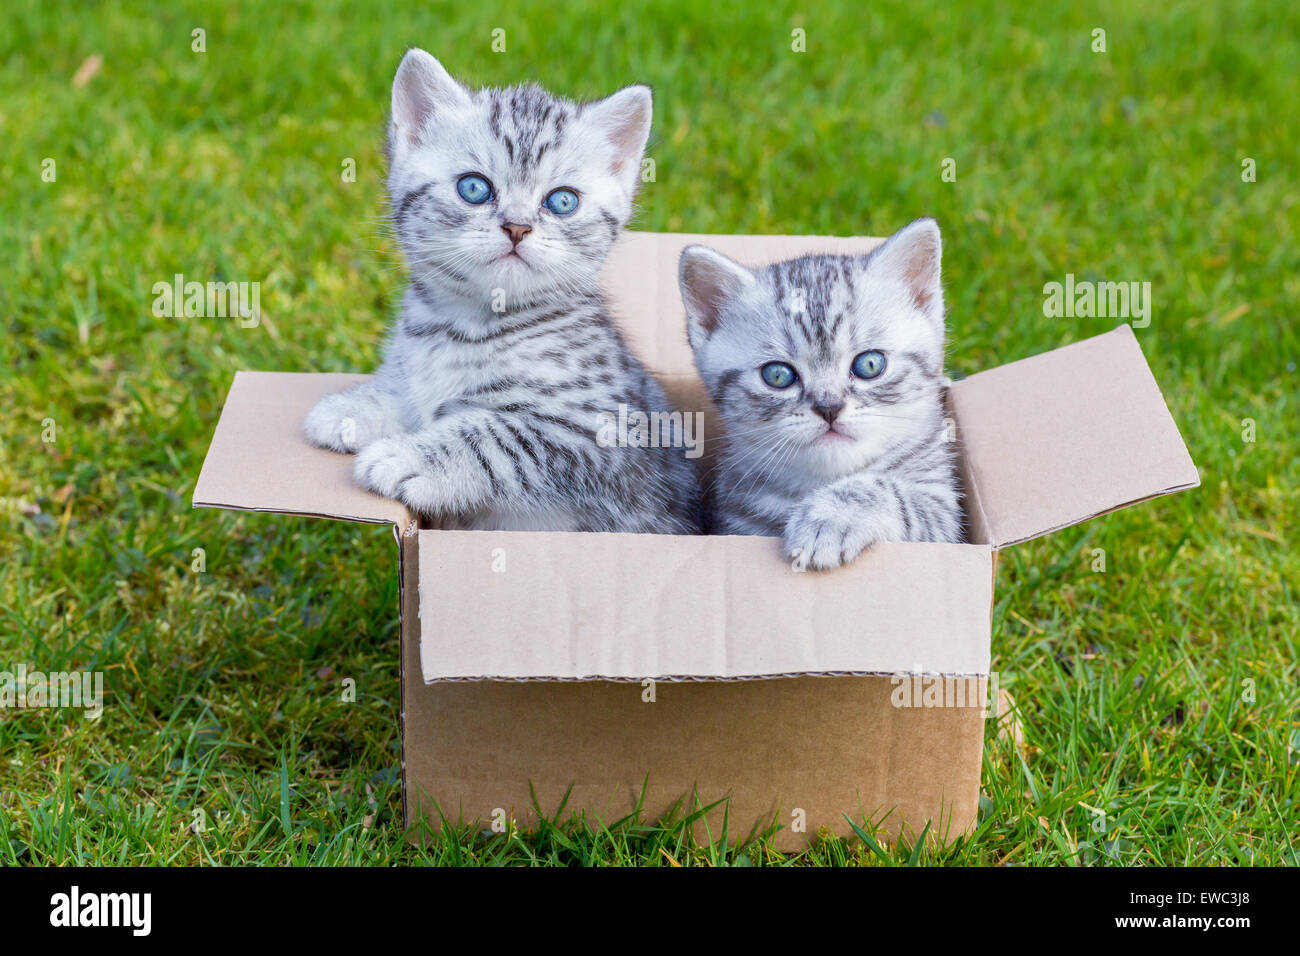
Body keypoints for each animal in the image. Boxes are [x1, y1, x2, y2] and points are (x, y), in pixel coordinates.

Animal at [302, 48, 702, 535]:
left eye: (562, 201)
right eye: (474, 187)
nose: (517, 226)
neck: (463, 325)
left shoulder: (601, 437)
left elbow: (496, 434)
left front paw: (407, 457)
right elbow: (411, 394)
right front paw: (354, 407)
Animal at [681, 218, 967, 567]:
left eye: (870, 364)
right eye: (778, 375)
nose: (829, 407)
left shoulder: (946, 521)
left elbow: (899, 495)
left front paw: (832, 516)